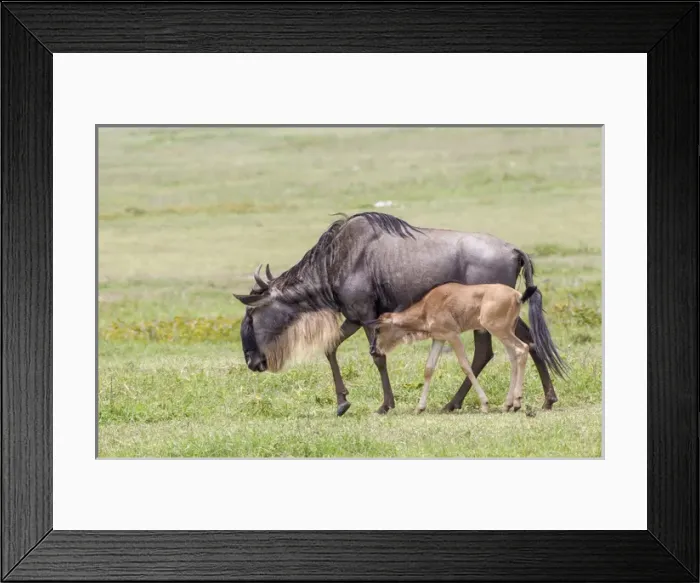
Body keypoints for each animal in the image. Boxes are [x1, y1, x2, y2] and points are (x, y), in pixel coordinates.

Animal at [369, 282, 546, 414]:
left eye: (378, 329)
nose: (373, 350)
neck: (427, 307)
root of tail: (517, 295)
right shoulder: (439, 338)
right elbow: (429, 368)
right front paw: (420, 407)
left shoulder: (453, 335)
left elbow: (465, 366)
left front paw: (484, 404)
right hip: (506, 331)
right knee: (513, 358)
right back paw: (508, 404)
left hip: (498, 330)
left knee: (523, 348)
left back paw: (517, 402)